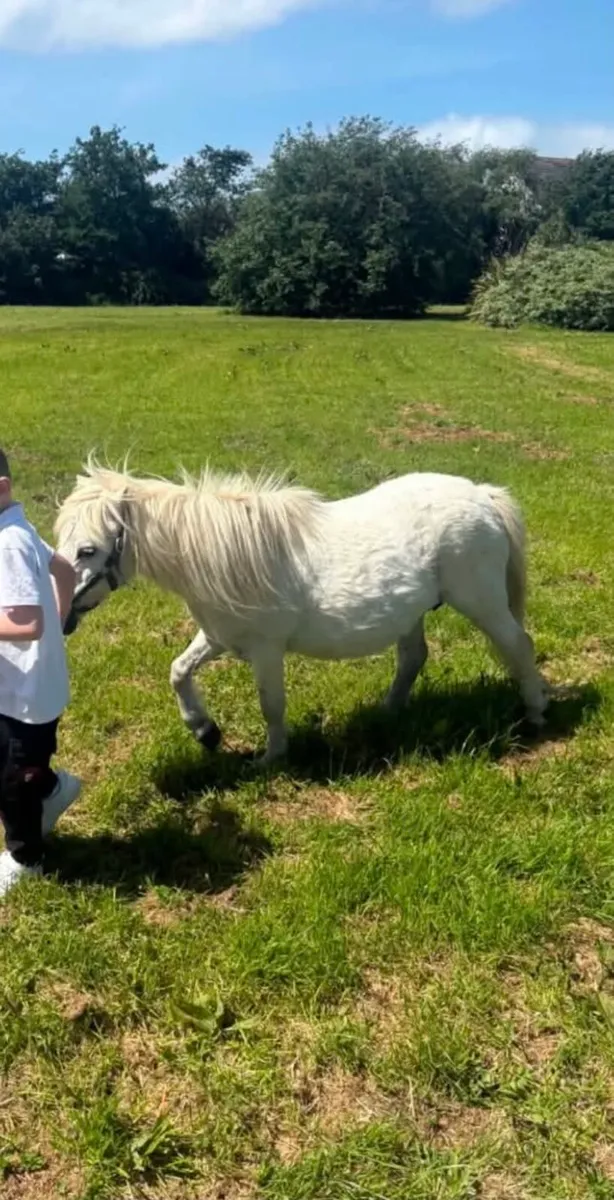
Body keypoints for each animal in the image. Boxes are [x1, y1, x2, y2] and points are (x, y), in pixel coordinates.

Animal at [55, 459, 550, 764]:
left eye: (87, 549)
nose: (63, 616)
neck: (229, 554)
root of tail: (482, 495)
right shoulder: (218, 637)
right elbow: (178, 671)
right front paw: (206, 731)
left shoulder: (266, 650)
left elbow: (271, 704)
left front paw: (271, 758)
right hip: (413, 614)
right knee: (413, 658)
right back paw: (387, 713)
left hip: (482, 601)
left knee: (518, 645)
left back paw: (536, 713)